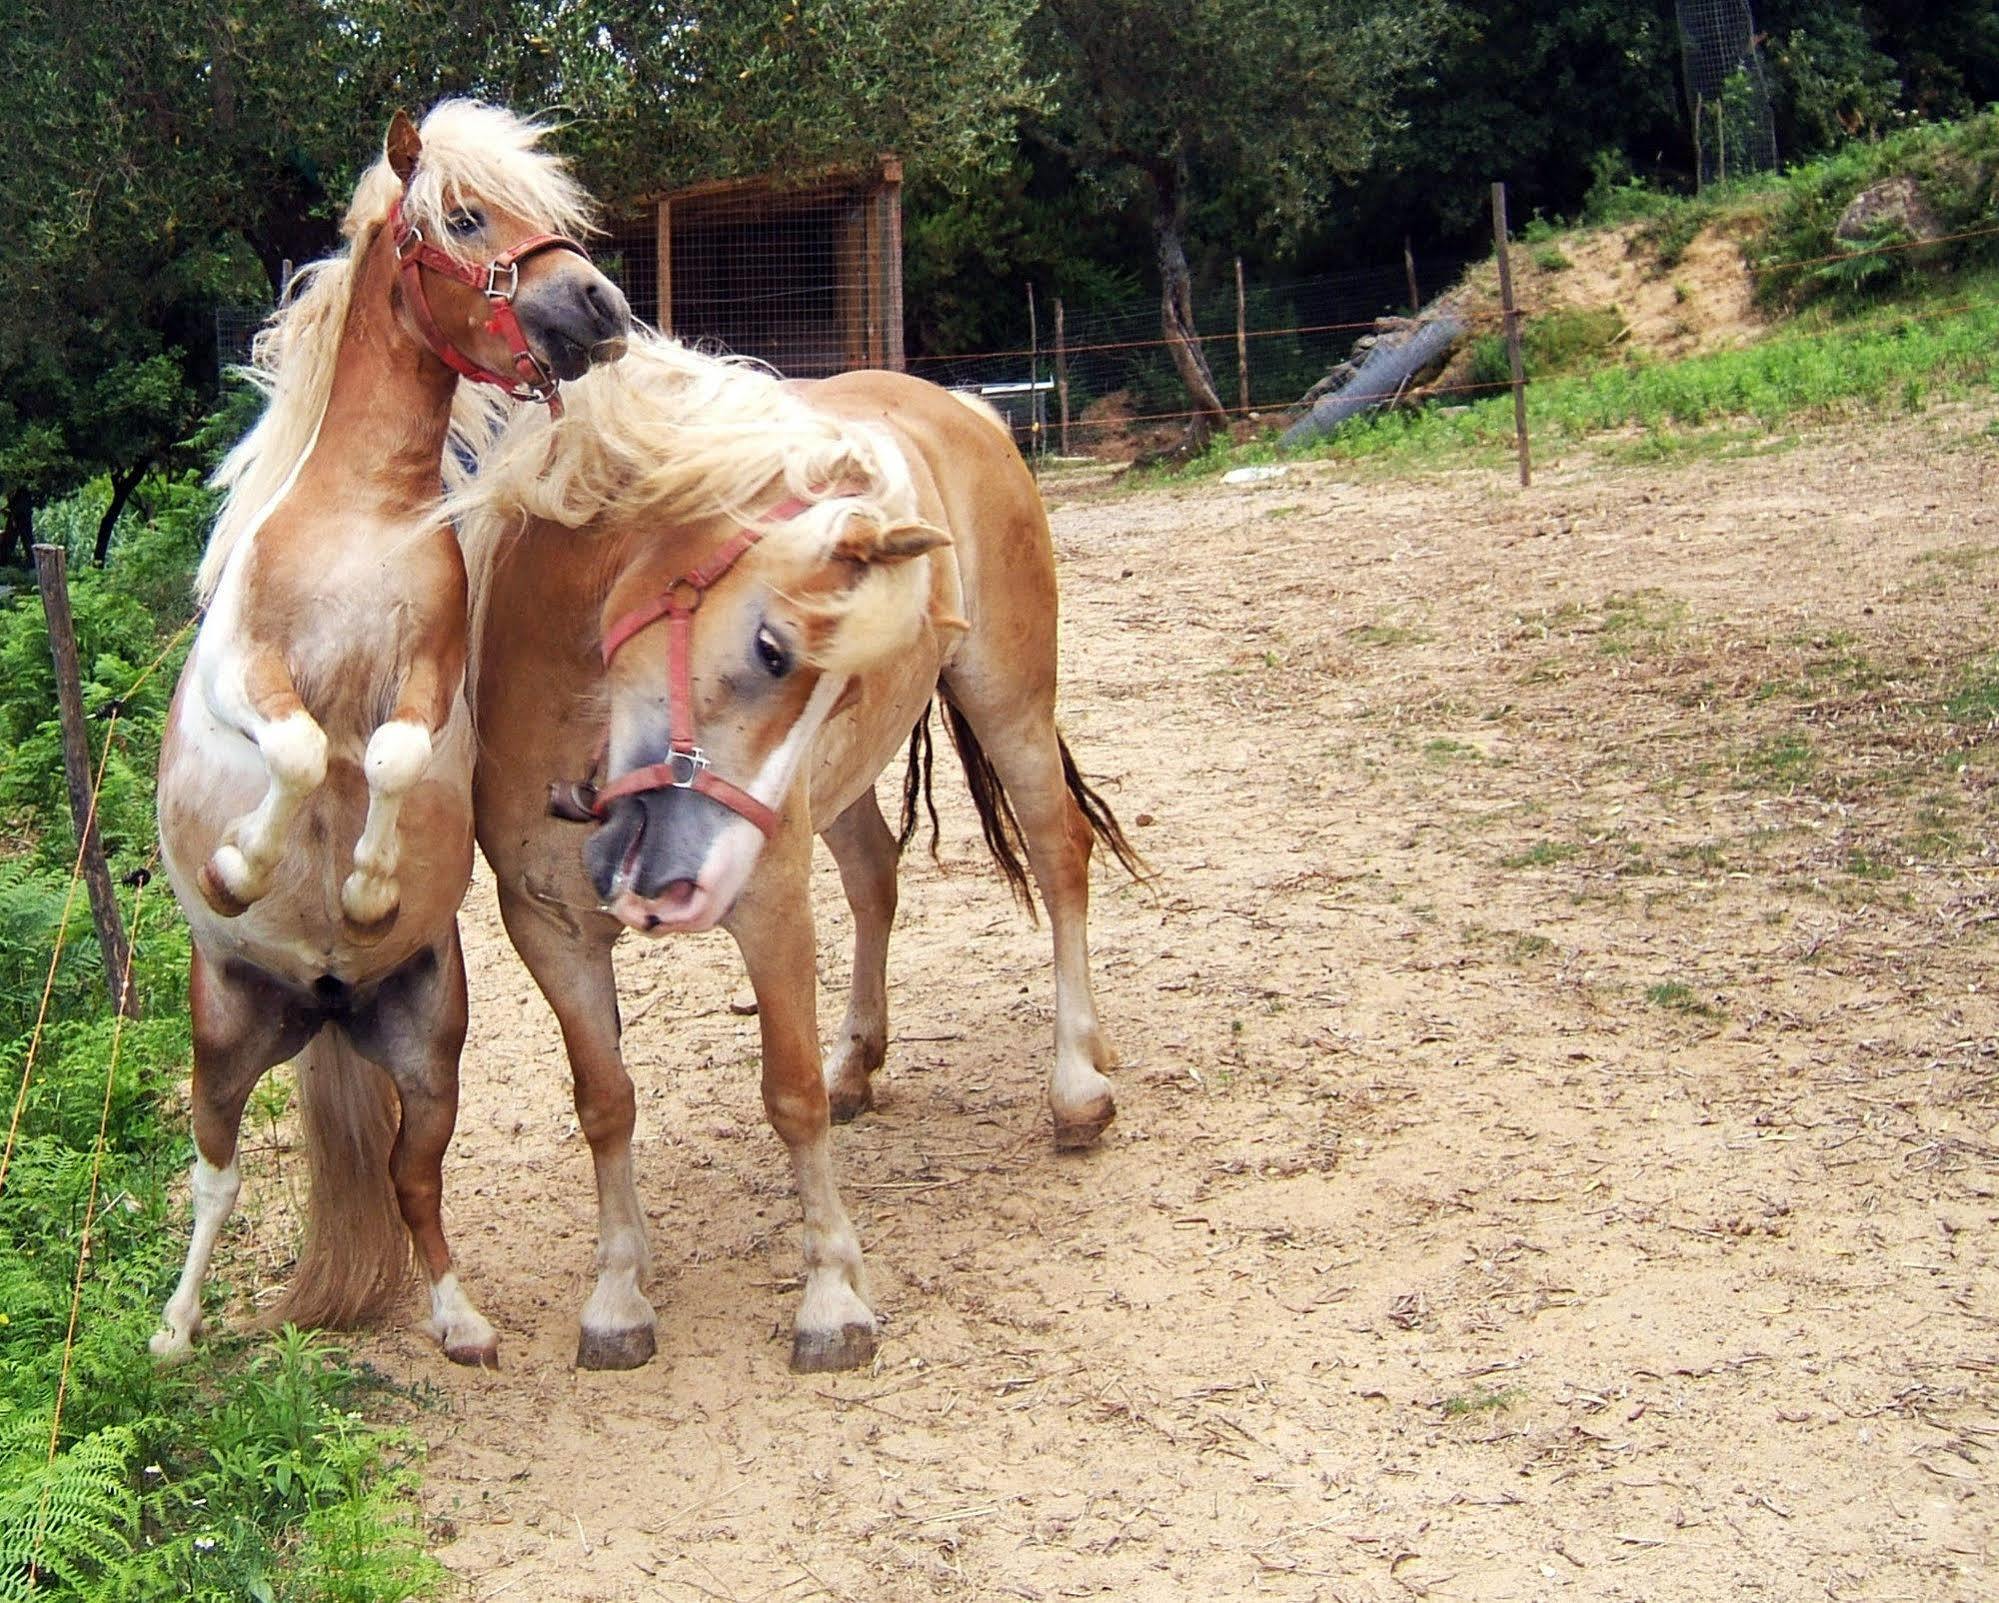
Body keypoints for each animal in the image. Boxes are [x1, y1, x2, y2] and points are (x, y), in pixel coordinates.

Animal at [151, 102, 627, 1359]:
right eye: (463, 218)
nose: (600, 308)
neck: (361, 516)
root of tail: (321, 1001)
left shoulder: (429, 679)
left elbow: (387, 756)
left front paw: (366, 887)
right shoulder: (246, 670)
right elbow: (301, 748)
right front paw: (238, 864)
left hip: (429, 1049)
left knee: (416, 1179)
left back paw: (460, 1319)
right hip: (221, 1036)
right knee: (214, 1177)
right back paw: (172, 1329)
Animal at [453, 331, 1143, 1367]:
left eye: (836, 683)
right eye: (773, 651)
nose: (682, 887)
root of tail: (968, 408)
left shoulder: (769, 908)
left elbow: (789, 1094)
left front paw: (831, 1296)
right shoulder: (548, 928)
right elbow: (603, 1098)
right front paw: (617, 1296)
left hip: (1009, 698)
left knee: (1059, 854)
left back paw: (1075, 1085)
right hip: (842, 789)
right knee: (875, 876)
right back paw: (863, 1061)